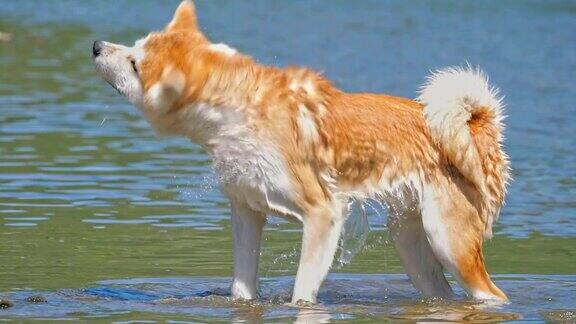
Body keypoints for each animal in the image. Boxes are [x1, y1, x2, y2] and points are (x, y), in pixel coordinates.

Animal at [92, 0, 510, 304]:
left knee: (493, 295)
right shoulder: (247, 212)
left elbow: (301, 294)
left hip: (448, 240)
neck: (240, 110)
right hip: (411, 245)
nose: (96, 46)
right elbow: (241, 290)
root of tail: (478, 128)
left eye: (135, 63)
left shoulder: (324, 214)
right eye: (137, 44)